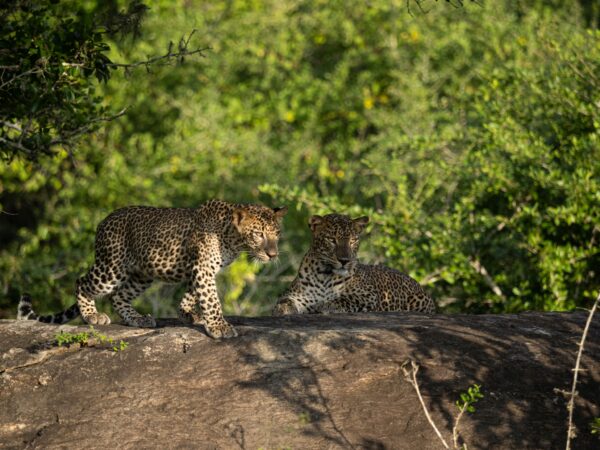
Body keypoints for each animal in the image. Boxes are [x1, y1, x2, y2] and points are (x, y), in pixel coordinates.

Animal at [17, 200, 288, 338]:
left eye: (277, 233)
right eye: (258, 234)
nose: (273, 254)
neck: (232, 237)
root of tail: (103, 222)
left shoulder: (201, 269)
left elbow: (192, 294)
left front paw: (188, 314)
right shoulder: (203, 268)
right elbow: (211, 299)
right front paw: (219, 326)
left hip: (142, 274)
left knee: (118, 296)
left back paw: (138, 319)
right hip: (111, 267)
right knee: (82, 282)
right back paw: (92, 316)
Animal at [274, 214, 436, 316]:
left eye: (353, 241)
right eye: (332, 240)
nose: (345, 260)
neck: (325, 274)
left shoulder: (368, 296)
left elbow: (345, 299)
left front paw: (324, 305)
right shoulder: (297, 294)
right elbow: (284, 301)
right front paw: (282, 309)